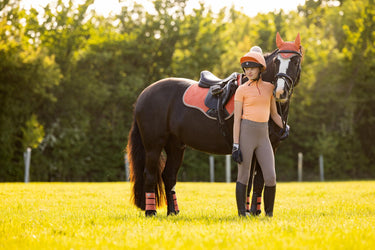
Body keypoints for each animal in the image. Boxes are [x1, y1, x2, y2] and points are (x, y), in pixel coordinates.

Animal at [128, 32, 304, 217]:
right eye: (277, 61)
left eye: (295, 61)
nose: (280, 92)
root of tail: (144, 94)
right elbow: (250, 181)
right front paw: (248, 212)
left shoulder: (270, 147)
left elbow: (259, 181)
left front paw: (254, 212)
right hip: (153, 146)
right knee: (150, 175)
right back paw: (151, 212)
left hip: (175, 146)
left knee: (168, 176)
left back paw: (173, 212)